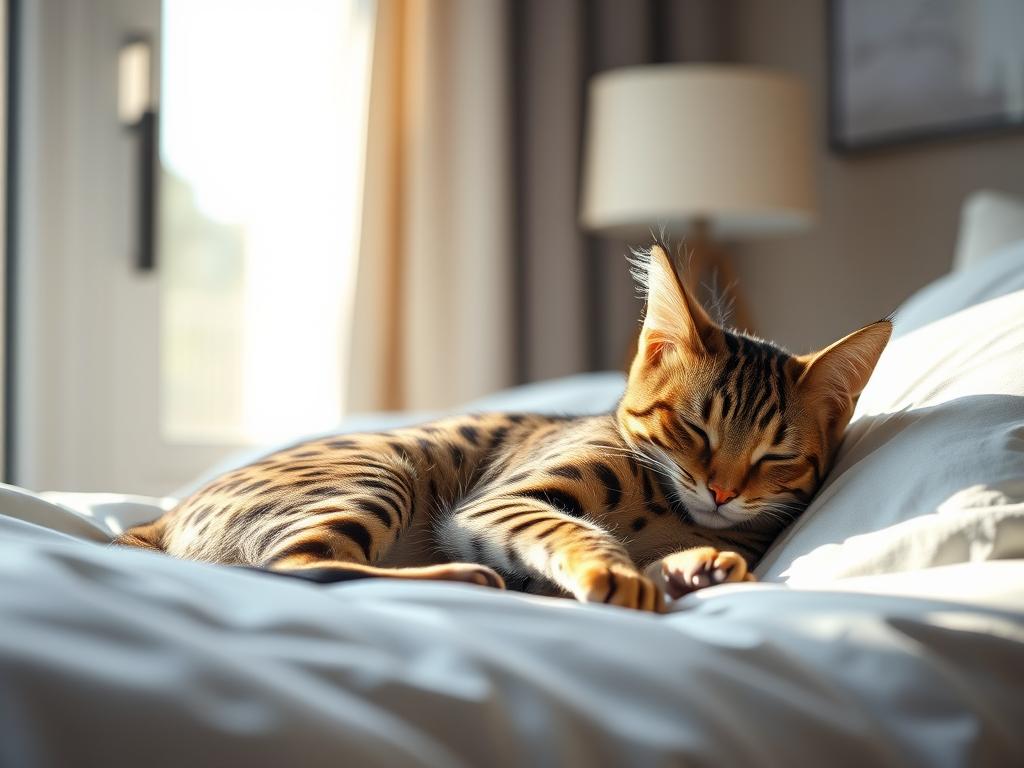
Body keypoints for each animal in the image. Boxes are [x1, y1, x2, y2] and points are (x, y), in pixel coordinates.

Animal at [116, 246, 892, 614]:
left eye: (776, 456)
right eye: (693, 428)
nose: (722, 494)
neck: (671, 512)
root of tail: (160, 519)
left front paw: (694, 567)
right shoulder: (500, 502)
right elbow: (580, 535)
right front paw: (622, 570)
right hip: (381, 474)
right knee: (290, 568)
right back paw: (462, 578)